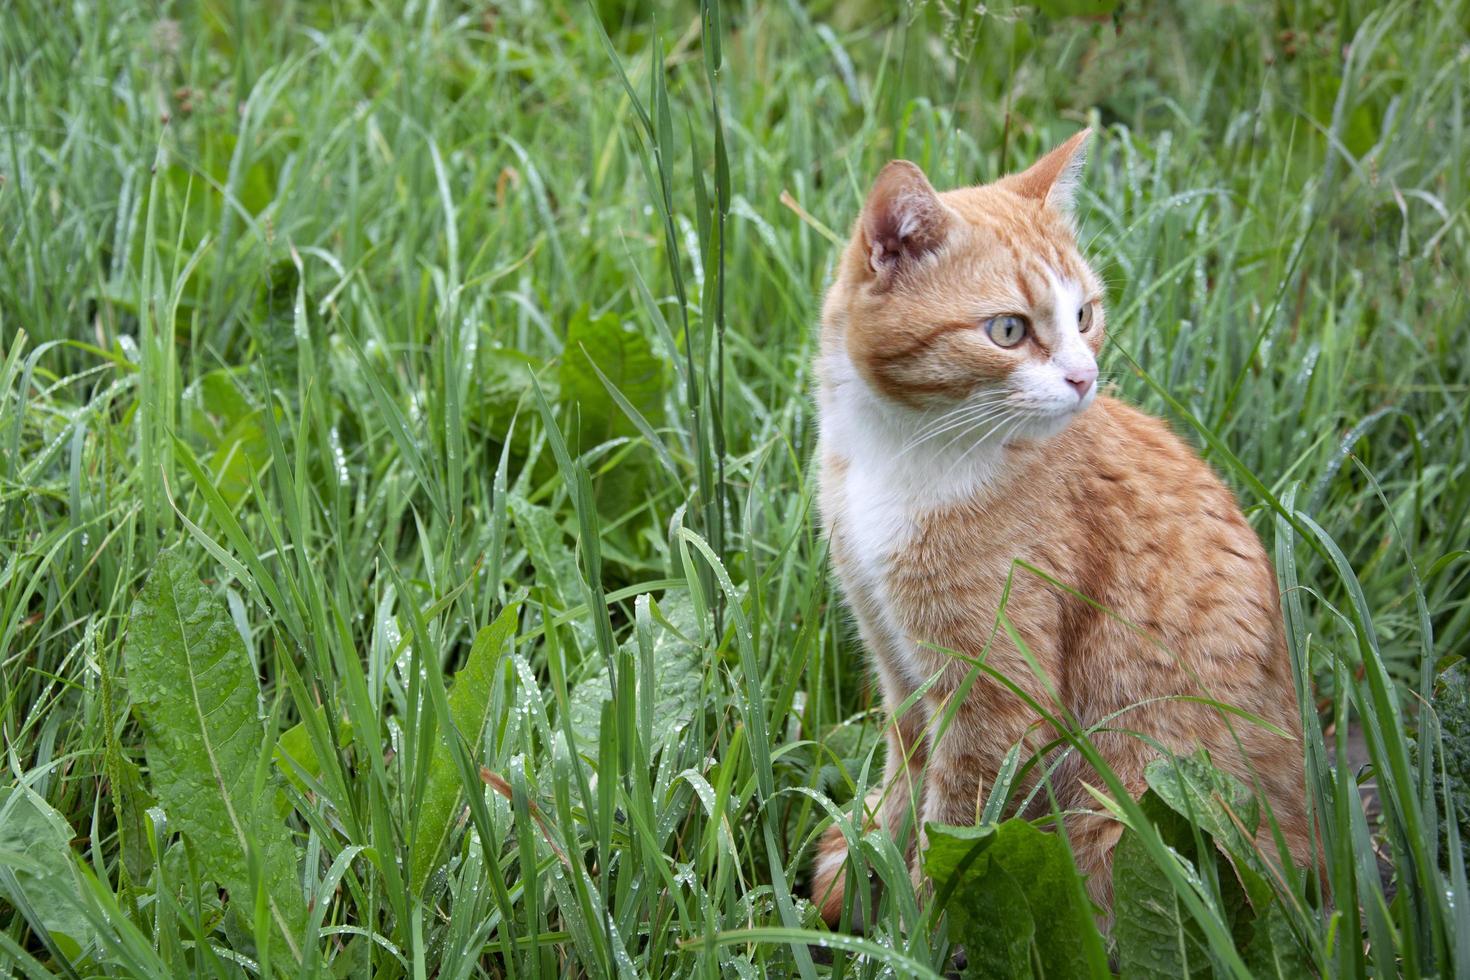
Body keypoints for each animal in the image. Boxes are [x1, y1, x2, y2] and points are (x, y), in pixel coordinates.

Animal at [817, 128, 1311, 922]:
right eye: (1008, 329)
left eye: (1084, 316)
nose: (1084, 378)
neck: (900, 456)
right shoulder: (897, 660)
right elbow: (903, 780)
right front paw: (858, 867)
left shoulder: (996, 698)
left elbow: (953, 830)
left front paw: (911, 923)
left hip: (1123, 820)